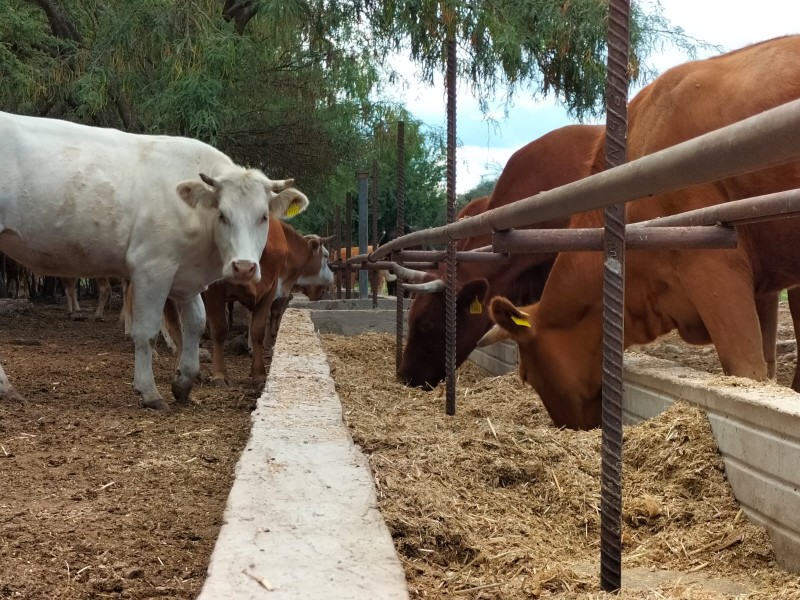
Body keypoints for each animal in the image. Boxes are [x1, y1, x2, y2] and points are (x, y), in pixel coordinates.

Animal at [0, 111, 310, 412]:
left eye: (263, 216)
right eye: (222, 214)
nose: (243, 267)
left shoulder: (186, 276)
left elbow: (196, 323)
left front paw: (184, 382)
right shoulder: (152, 268)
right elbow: (147, 331)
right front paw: (149, 392)